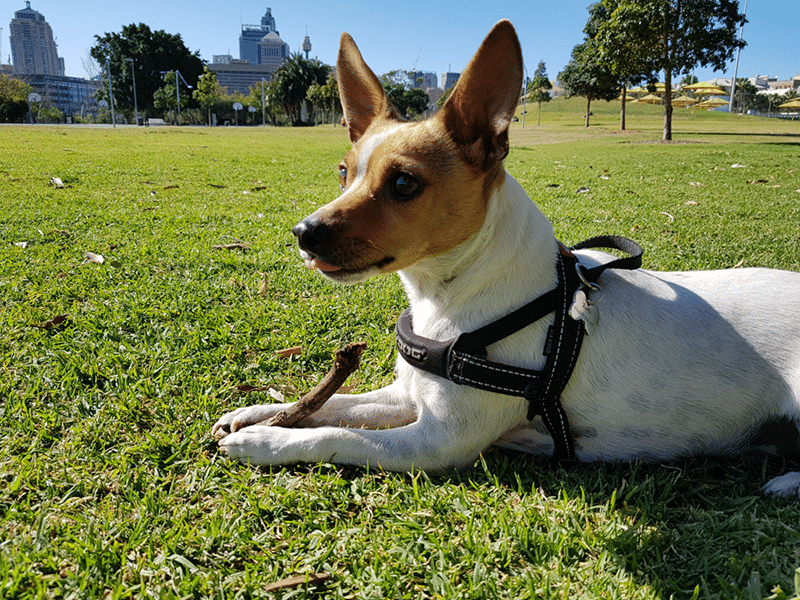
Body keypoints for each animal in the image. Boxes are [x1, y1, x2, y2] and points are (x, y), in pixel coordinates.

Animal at [212, 19, 800, 496]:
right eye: (343, 172)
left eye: (403, 183)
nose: (303, 233)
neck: (449, 296)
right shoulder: (409, 398)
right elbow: (336, 404)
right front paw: (256, 413)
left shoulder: (436, 441)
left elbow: (337, 435)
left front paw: (263, 443)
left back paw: (786, 481)